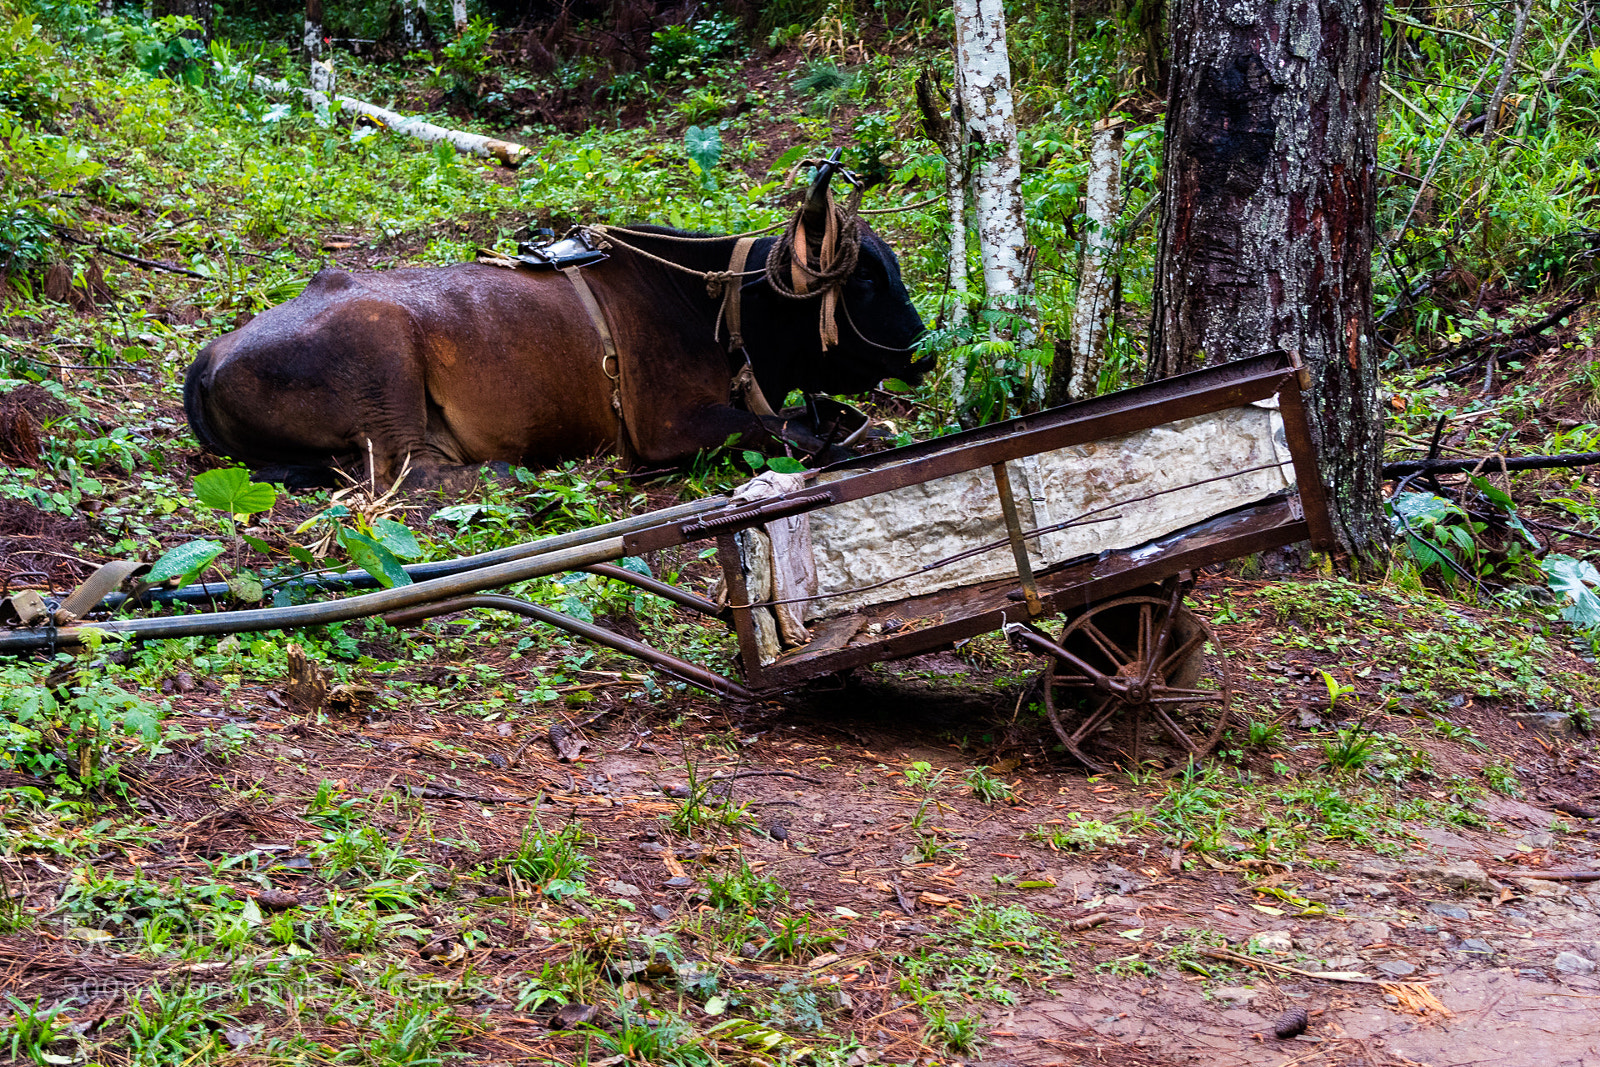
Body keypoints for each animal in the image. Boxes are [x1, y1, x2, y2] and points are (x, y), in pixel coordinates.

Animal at [183, 166, 930, 490]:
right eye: (865, 279)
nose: (923, 351)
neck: (714, 307)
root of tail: (212, 353)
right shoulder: (668, 427)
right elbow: (788, 434)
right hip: (383, 352)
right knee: (412, 474)